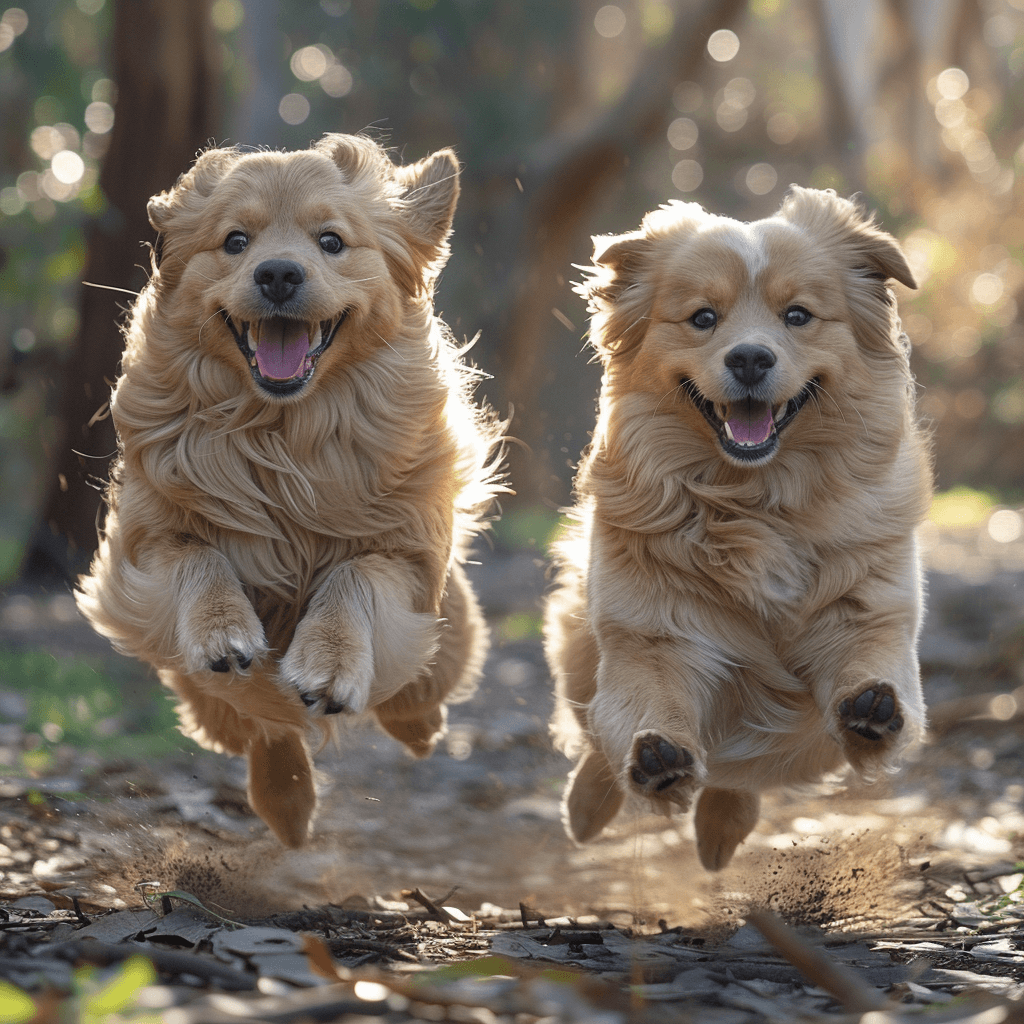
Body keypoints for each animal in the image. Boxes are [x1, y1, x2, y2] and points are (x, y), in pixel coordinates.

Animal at [74, 132, 503, 843]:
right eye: (235, 240)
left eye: (330, 240)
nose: (278, 273)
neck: (282, 436)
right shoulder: (143, 547)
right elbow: (196, 555)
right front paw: (223, 629)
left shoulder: (404, 554)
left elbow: (355, 578)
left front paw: (329, 663)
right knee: (250, 721)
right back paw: (287, 801)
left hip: (444, 621)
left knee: (423, 679)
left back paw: (416, 725)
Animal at [548, 188, 933, 868]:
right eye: (703, 318)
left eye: (798, 316)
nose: (750, 356)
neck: (754, 501)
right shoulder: (650, 635)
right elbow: (644, 710)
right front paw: (659, 758)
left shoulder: (872, 611)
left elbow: (870, 666)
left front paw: (871, 709)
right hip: (580, 651)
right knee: (597, 738)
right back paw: (588, 811)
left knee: (735, 779)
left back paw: (721, 832)